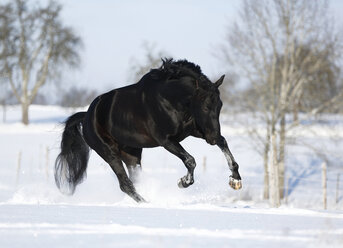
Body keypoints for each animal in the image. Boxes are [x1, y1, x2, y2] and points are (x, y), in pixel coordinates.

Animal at [54, 59, 242, 202]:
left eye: (220, 105)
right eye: (205, 106)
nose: (212, 137)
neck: (170, 99)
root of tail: (87, 115)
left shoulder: (194, 131)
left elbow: (223, 142)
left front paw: (235, 179)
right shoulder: (166, 140)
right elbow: (190, 160)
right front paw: (183, 182)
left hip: (132, 155)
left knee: (134, 180)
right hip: (109, 153)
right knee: (125, 184)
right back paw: (147, 203)